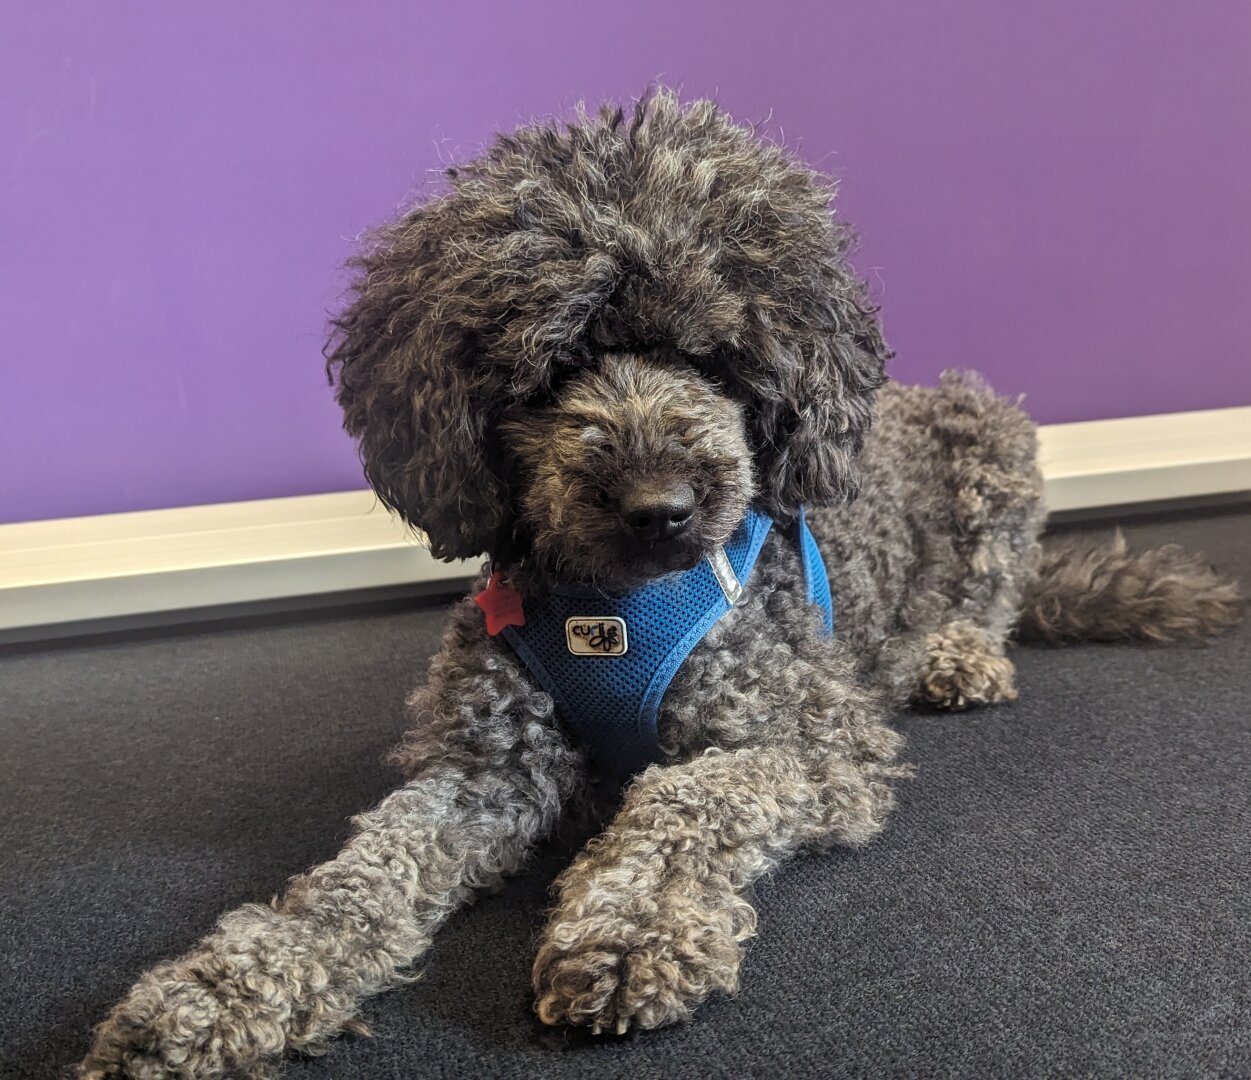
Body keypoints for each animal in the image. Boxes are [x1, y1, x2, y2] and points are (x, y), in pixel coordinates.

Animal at [80, 86, 1240, 1080]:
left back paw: (954, 654)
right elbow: (370, 867)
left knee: (987, 594)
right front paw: (225, 988)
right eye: (549, 371)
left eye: (712, 357)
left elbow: (688, 796)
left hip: (988, 431)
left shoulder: (813, 741)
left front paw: (632, 926)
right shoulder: (487, 766)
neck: (616, 608)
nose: (660, 505)